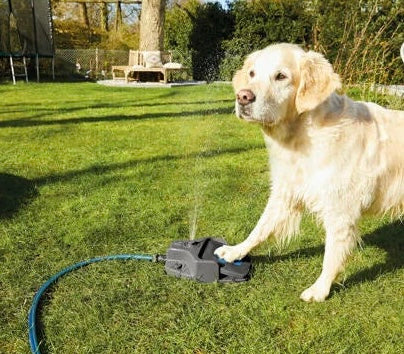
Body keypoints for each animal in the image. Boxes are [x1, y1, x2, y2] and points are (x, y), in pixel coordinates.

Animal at [215, 42, 404, 302]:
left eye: (281, 76)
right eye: (252, 74)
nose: (243, 96)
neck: (303, 136)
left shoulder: (340, 210)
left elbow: (331, 253)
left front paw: (320, 289)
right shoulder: (285, 190)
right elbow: (260, 228)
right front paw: (235, 251)